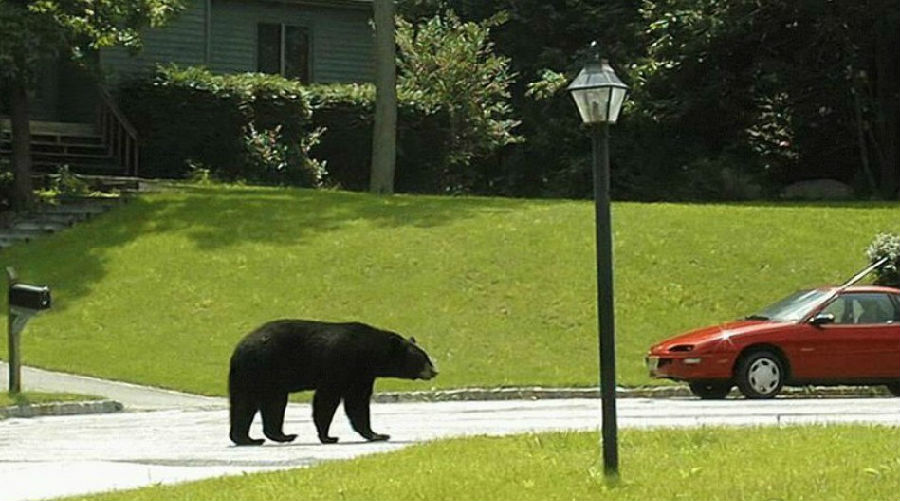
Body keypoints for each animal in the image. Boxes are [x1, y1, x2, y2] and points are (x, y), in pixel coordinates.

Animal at [230, 318, 438, 444]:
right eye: (422, 359)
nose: (434, 371)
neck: (370, 352)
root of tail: (240, 347)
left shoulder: (362, 374)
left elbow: (357, 402)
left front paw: (377, 434)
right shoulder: (340, 364)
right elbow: (328, 399)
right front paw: (328, 436)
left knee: (254, 404)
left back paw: (262, 437)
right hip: (264, 369)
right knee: (258, 403)